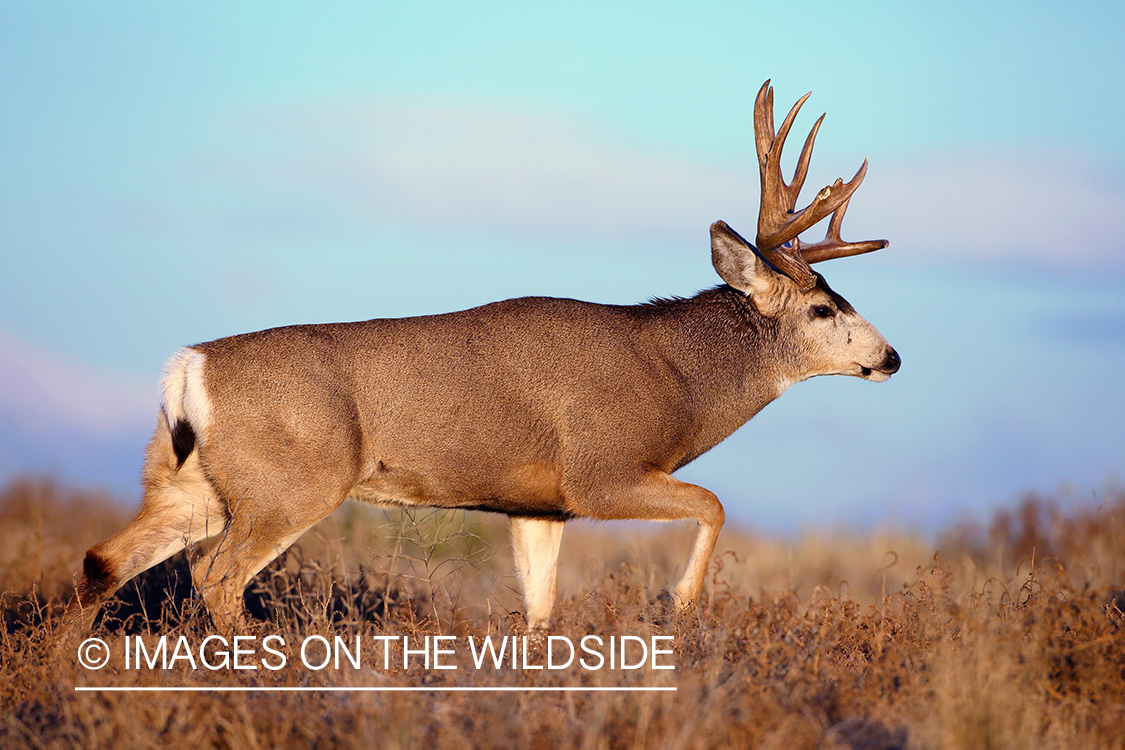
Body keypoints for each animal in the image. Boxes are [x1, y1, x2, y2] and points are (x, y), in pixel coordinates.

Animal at [61, 80, 900, 634]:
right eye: (824, 308)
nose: (891, 357)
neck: (679, 379)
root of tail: (188, 366)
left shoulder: (536, 504)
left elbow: (539, 609)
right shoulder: (600, 470)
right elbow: (714, 503)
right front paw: (680, 607)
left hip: (193, 480)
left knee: (106, 558)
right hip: (291, 480)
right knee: (215, 575)